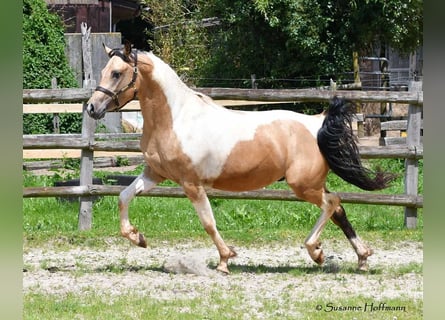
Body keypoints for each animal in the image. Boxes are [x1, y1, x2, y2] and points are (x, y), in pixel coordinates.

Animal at [86, 42, 392, 272]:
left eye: (116, 73)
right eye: (103, 70)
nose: (92, 108)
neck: (176, 119)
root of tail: (317, 123)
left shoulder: (191, 183)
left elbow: (209, 223)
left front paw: (225, 259)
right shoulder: (155, 174)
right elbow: (123, 196)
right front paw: (137, 238)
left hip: (303, 185)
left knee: (332, 203)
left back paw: (315, 251)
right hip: (313, 184)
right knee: (338, 209)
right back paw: (360, 257)